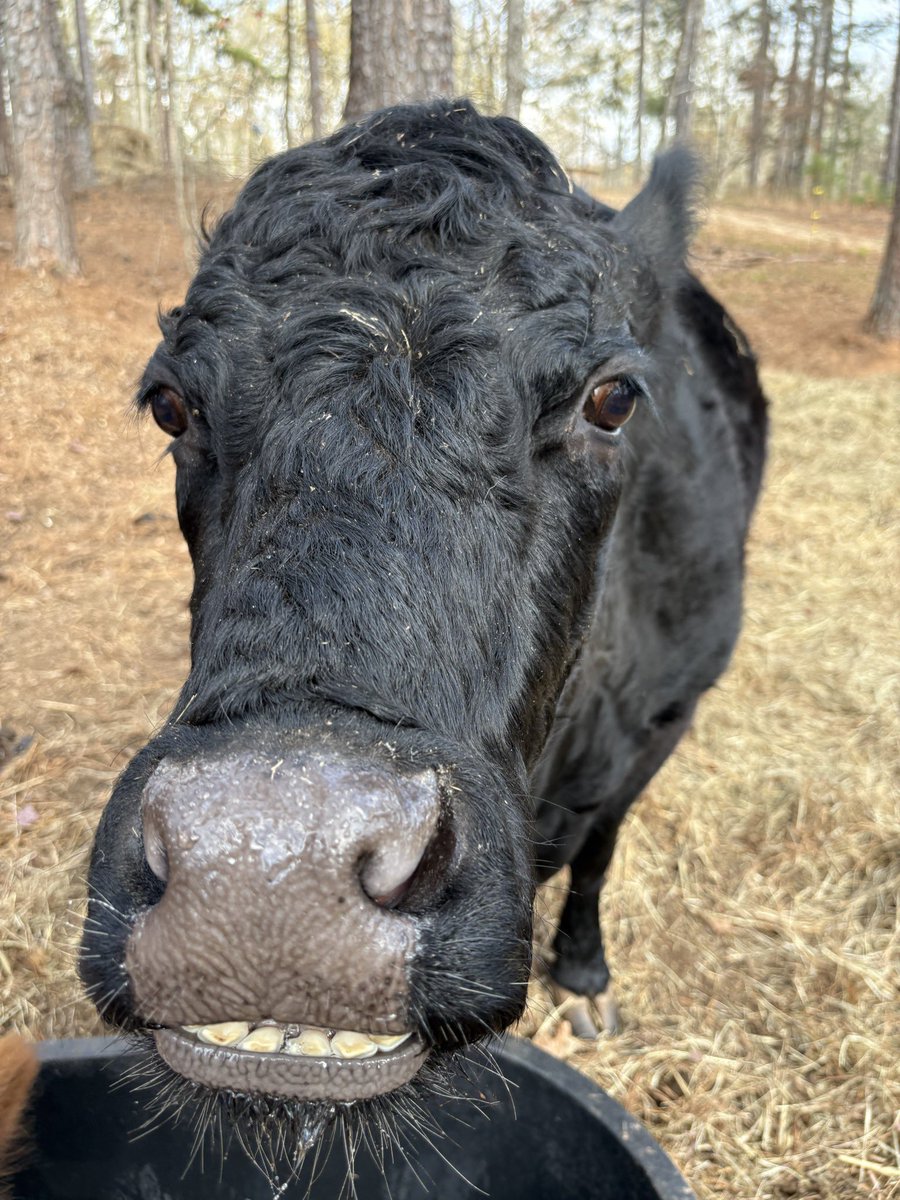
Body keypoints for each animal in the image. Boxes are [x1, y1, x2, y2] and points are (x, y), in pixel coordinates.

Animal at [79, 99, 766, 1167]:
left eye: (613, 398)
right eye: (169, 403)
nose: (265, 873)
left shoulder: (668, 714)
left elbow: (605, 849)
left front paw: (585, 974)